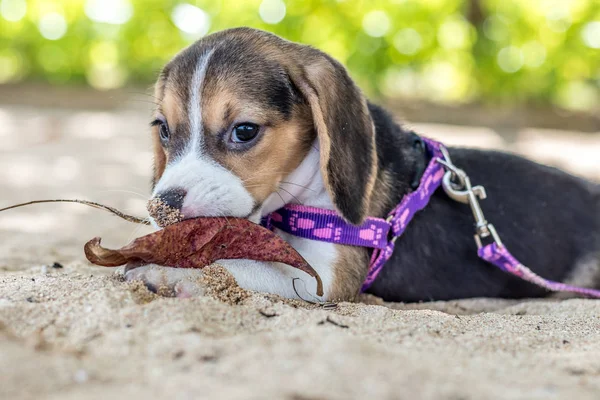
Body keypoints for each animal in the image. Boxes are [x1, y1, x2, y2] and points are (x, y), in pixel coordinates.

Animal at [124, 27, 596, 304]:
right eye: (163, 130)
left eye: (244, 131)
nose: (161, 207)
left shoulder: (323, 278)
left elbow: (231, 266)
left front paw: (160, 270)